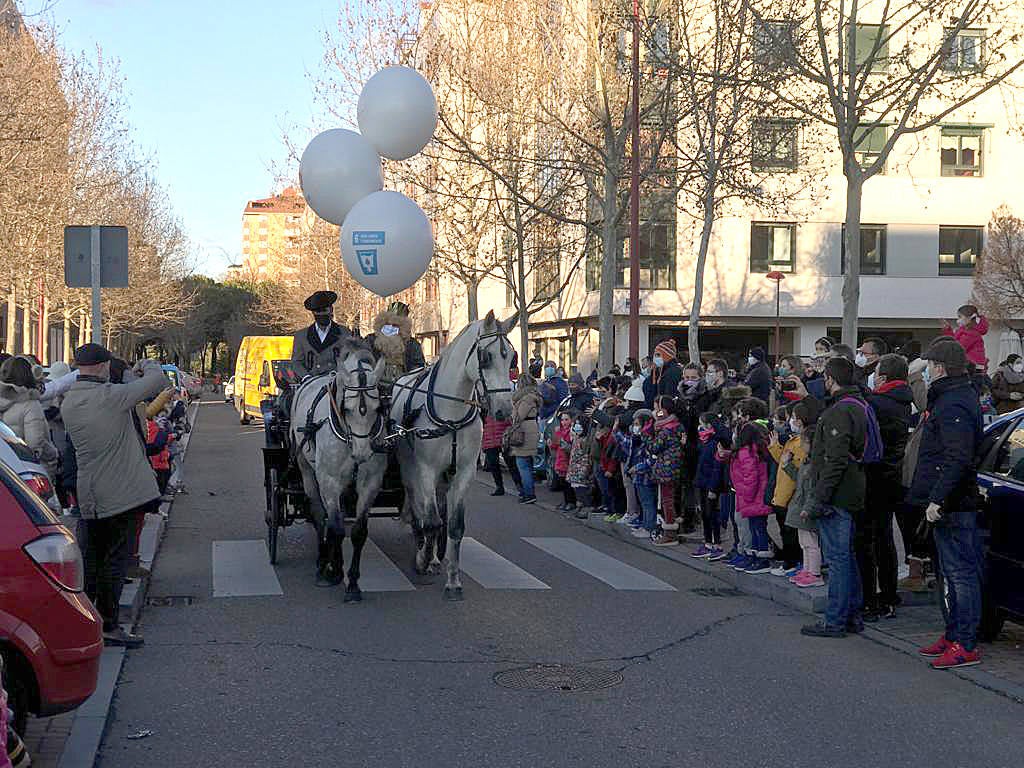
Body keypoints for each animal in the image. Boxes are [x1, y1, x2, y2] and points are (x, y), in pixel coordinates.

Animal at [292, 339, 387, 606]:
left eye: (379, 407)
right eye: (347, 407)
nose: (363, 453)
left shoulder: (370, 484)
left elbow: (357, 532)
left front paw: (352, 583)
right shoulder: (329, 481)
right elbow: (334, 527)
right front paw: (332, 570)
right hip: (307, 471)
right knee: (318, 514)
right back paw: (322, 561)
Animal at [391, 311, 520, 602]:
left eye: (512, 357)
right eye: (486, 356)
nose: (505, 411)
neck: (451, 414)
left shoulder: (463, 473)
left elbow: (454, 526)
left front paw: (452, 581)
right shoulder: (425, 470)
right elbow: (430, 522)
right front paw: (422, 560)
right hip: (411, 472)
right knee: (418, 510)